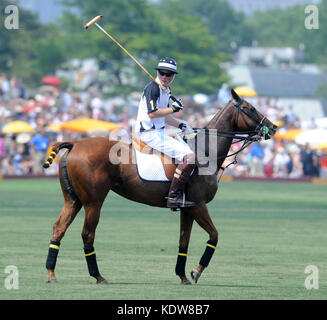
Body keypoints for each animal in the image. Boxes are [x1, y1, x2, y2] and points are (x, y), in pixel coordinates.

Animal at [44, 89, 278, 284]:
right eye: (250, 108)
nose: (274, 128)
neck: (204, 151)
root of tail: (74, 144)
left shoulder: (187, 208)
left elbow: (184, 241)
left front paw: (183, 276)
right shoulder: (198, 205)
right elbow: (214, 235)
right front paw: (196, 272)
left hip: (73, 200)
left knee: (58, 228)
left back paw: (51, 274)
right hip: (93, 201)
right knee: (87, 234)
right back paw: (98, 276)